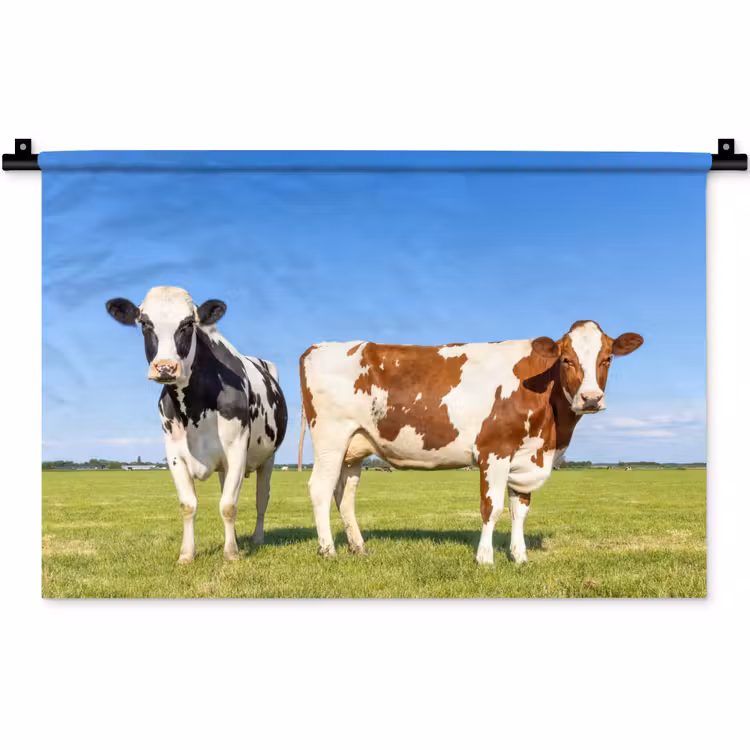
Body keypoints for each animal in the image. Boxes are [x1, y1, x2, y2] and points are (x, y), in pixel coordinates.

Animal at [106, 286, 288, 563]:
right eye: (145, 323)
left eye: (188, 324)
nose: (165, 368)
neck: (194, 408)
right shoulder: (174, 454)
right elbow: (188, 505)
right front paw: (187, 554)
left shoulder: (237, 450)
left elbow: (228, 505)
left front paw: (231, 554)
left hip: (267, 458)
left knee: (261, 499)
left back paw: (257, 538)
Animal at [298, 321, 642, 565]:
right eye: (567, 359)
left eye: (607, 359)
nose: (591, 398)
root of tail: (318, 346)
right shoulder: (495, 451)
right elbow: (492, 507)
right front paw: (485, 559)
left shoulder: (527, 456)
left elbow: (520, 509)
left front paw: (519, 557)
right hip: (330, 438)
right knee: (320, 489)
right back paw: (328, 550)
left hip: (354, 447)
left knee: (344, 494)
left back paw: (358, 547)